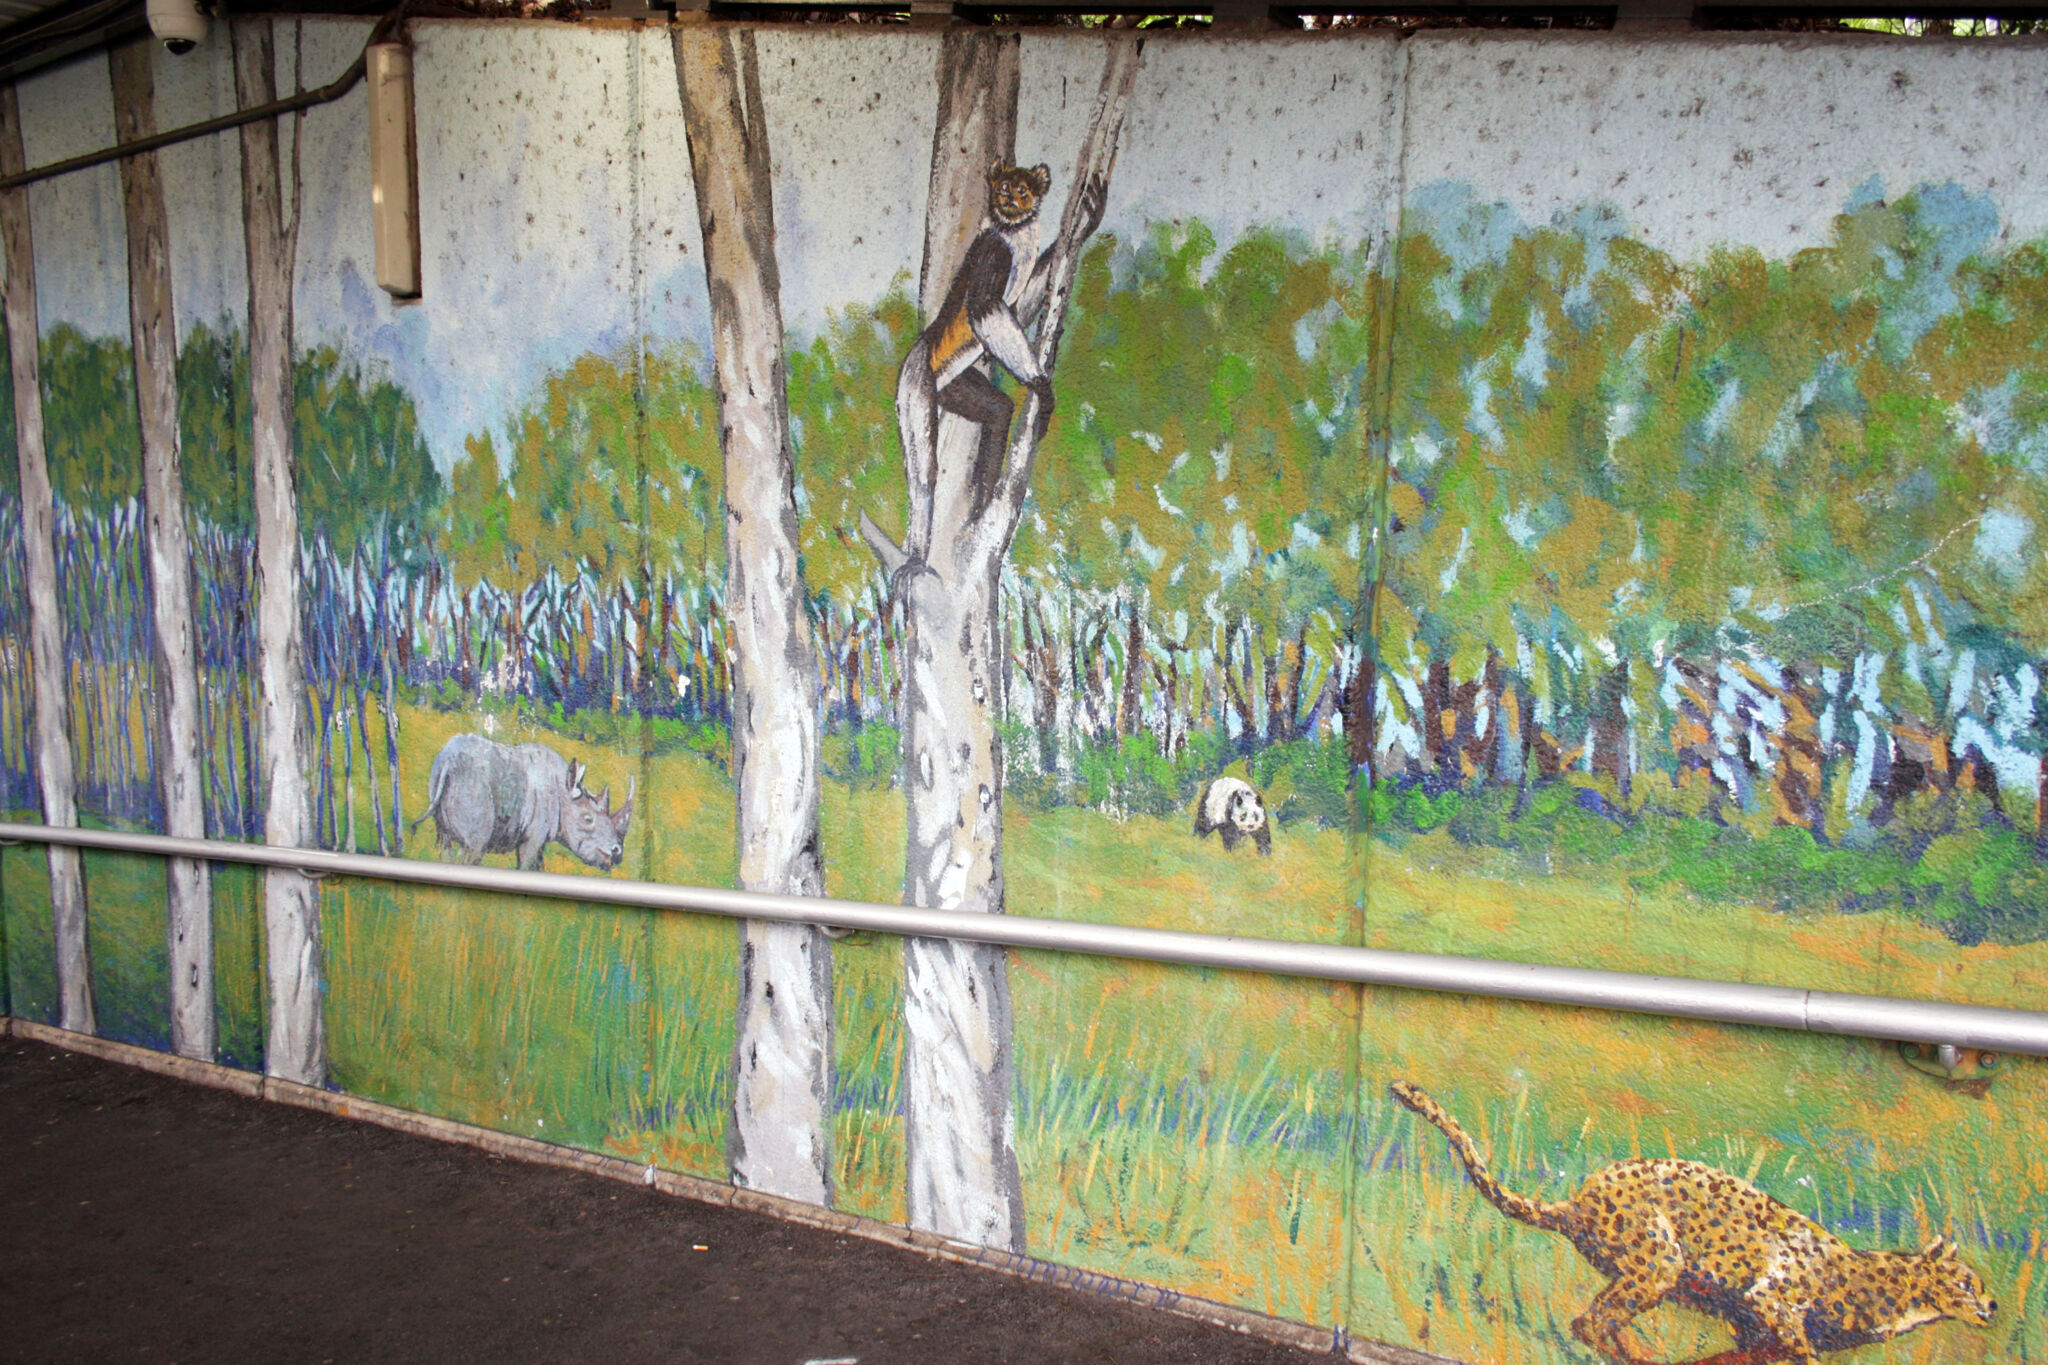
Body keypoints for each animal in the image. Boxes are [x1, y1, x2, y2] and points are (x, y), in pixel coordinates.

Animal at [897, 160, 1105, 523]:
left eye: (1023, 190)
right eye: (1004, 189)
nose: (1008, 201)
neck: (1012, 231)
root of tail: (919, 351)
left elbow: (1017, 312)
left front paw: (1085, 225)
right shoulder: (994, 252)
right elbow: (984, 308)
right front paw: (1041, 387)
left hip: (954, 386)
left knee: (997, 410)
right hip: (915, 387)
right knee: (923, 479)